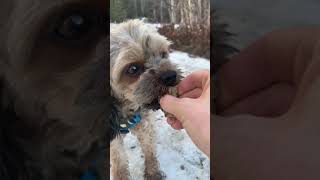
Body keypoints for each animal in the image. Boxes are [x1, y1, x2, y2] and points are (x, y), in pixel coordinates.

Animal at [110, 19, 180, 179]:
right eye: (133, 69)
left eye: (163, 54)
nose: (171, 76)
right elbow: (119, 162)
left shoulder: (145, 125)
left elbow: (150, 151)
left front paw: (153, 173)